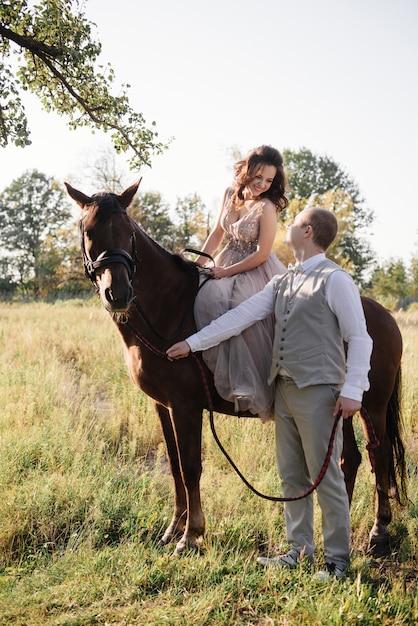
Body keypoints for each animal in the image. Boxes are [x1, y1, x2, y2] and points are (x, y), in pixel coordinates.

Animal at [66, 182, 404, 556]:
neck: (171, 310)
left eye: (128, 232)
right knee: (350, 460)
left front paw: (191, 535)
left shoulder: (185, 407)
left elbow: (191, 467)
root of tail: (383, 315)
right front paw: (173, 529)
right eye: (89, 232)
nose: (118, 293)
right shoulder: (161, 406)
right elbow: (173, 464)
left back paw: (378, 531)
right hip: (339, 410)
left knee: (379, 457)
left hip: (370, 408)